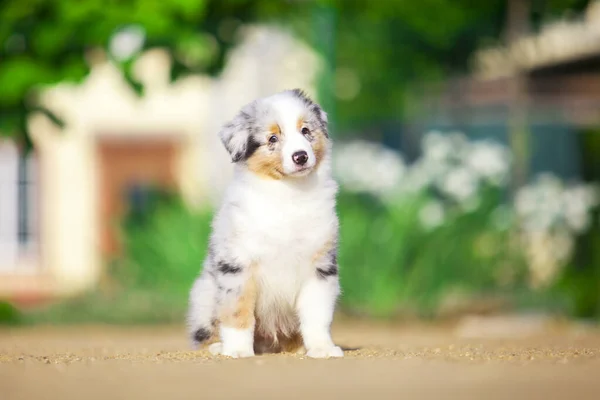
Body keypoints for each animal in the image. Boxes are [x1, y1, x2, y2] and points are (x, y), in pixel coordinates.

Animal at [189, 89, 342, 358]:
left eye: (305, 130)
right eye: (272, 138)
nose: (301, 156)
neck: (289, 193)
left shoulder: (320, 265)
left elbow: (317, 314)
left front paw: (322, 348)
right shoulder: (238, 264)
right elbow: (237, 312)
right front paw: (238, 350)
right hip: (204, 293)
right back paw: (218, 346)